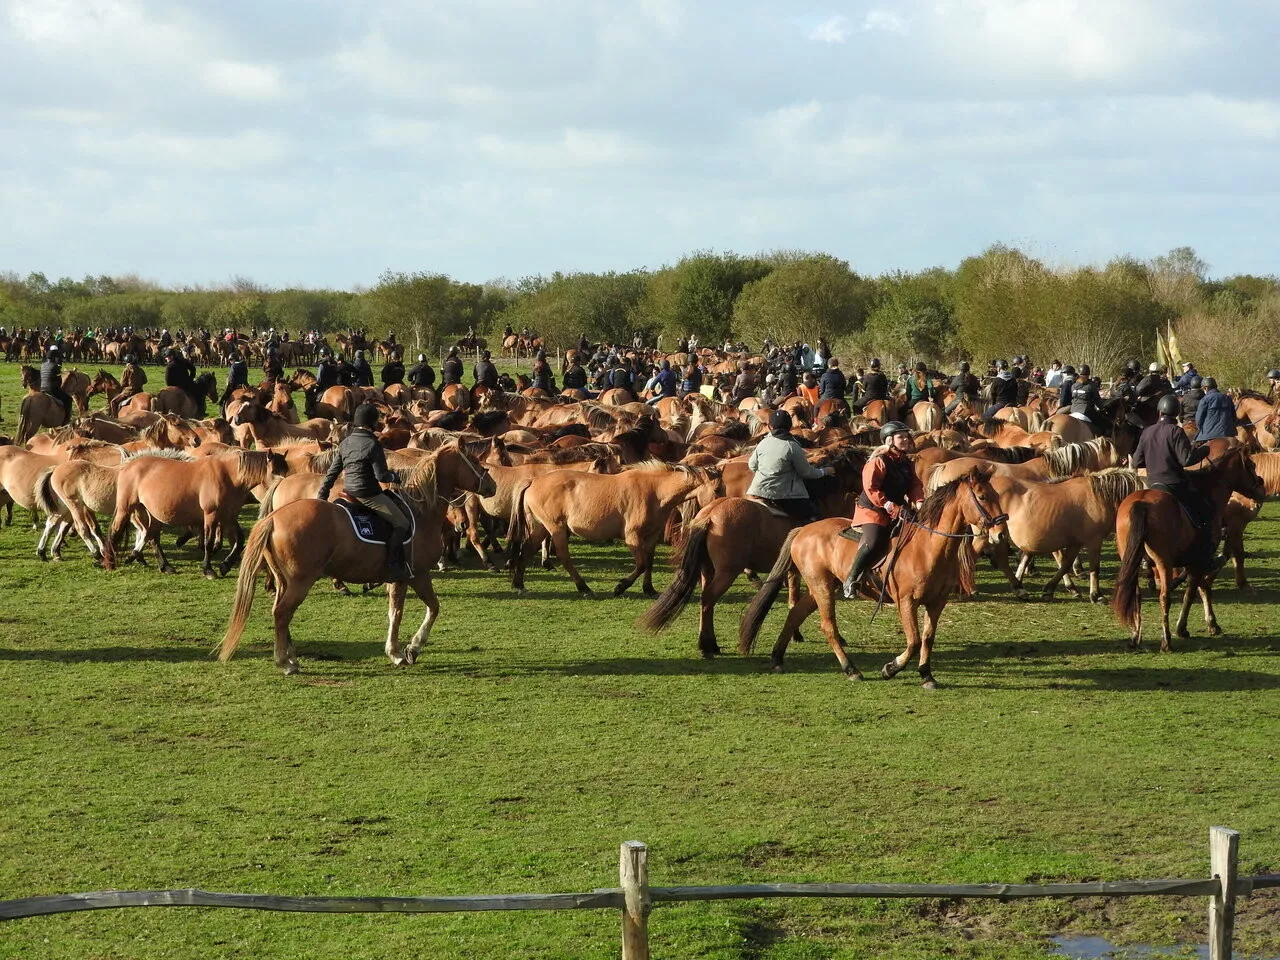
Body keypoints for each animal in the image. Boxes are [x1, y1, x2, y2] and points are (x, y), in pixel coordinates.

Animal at [103, 450, 289, 578]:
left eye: (286, 470)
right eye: (274, 471)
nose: (284, 488)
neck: (228, 475)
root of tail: (127, 465)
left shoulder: (228, 516)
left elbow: (240, 539)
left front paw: (225, 565)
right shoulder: (211, 515)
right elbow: (208, 542)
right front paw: (208, 570)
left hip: (151, 513)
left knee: (152, 537)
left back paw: (164, 566)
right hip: (125, 508)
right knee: (116, 532)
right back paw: (111, 563)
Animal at [217, 445, 496, 675]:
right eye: (473, 460)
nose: (491, 485)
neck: (419, 510)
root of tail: (274, 518)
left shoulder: (401, 578)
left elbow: (400, 611)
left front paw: (403, 649)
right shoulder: (415, 574)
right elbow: (418, 610)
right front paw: (406, 650)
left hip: (284, 581)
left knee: (282, 614)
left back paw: (292, 656)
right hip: (299, 582)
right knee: (282, 614)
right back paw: (285, 662)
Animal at [506, 463, 727, 599]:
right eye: (717, 489)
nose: (723, 507)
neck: (654, 490)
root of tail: (534, 481)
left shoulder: (651, 537)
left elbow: (649, 563)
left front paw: (649, 589)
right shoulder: (633, 537)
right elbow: (641, 564)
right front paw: (620, 586)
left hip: (541, 528)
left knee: (526, 550)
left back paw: (519, 584)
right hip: (556, 528)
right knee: (563, 556)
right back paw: (584, 588)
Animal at [742, 471, 1008, 686]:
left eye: (996, 494)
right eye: (982, 497)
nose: (1001, 533)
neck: (927, 547)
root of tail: (803, 530)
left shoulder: (936, 602)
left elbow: (927, 638)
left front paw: (927, 675)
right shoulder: (906, 602)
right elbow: (913, 641)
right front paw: (891, 668)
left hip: (821, 586)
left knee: (795, 614)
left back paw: (777, 658)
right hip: (822, 586)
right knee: (828, 626)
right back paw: (851, 669)